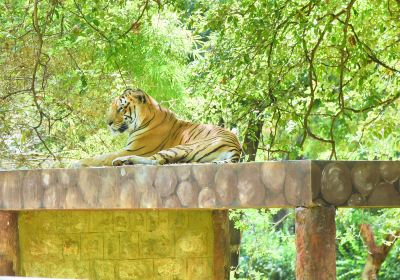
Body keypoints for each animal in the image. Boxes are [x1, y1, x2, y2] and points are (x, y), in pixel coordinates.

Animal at [74, 88, 242, 166]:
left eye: (121, 108)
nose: (108, 123)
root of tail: (237, 148)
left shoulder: (133, 149)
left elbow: (101, 157)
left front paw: (75, 162)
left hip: (184, 147)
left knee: (157, 161)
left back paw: (122, 161)